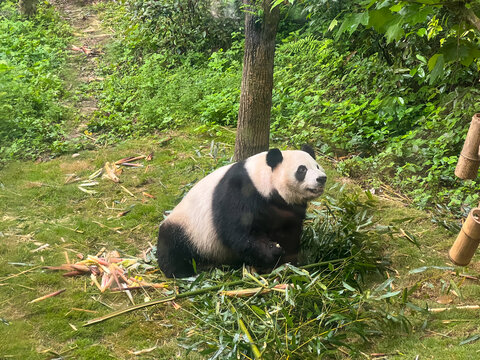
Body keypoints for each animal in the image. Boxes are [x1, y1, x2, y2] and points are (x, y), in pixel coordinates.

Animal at [157, 145, 326, 278]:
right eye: (302, 169)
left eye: (317, 166)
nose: (322, 178)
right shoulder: (240, 191)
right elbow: (237, 231)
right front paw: (272, 251)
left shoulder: (287, 207)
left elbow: (289, 230)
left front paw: (287, 262)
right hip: (188, 228)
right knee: (172, 246)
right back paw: (182, 271)